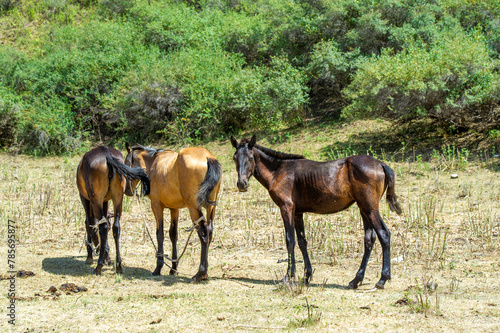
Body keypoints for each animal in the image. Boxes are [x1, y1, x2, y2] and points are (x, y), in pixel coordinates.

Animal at [124, 142, 222, 280]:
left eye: (126, 164)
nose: (127, 190)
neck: (152, 163)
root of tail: (208, 157)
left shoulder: (156, 206)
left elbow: (160, 234)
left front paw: (158, 267)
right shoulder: (174, 209)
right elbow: (173, 235)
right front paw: (174, 268)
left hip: (194, 209)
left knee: (203, 234)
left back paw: (200, 273)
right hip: (211, 208)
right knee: (209, 232)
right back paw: (205, 272)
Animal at [230, 135, 402, 288]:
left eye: (250, 157)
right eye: (234, 158)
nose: (241, 184)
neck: (279, 171)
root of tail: (381, 164)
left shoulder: (286, 208)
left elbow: (290, 240)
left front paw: (288, 276)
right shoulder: (298, 213)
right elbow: (302, 242)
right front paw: (307, 276)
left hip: (370, 208)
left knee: (384, 234)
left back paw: (382, 279)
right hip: (364, 209)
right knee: (369, 239)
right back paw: (355, 280)